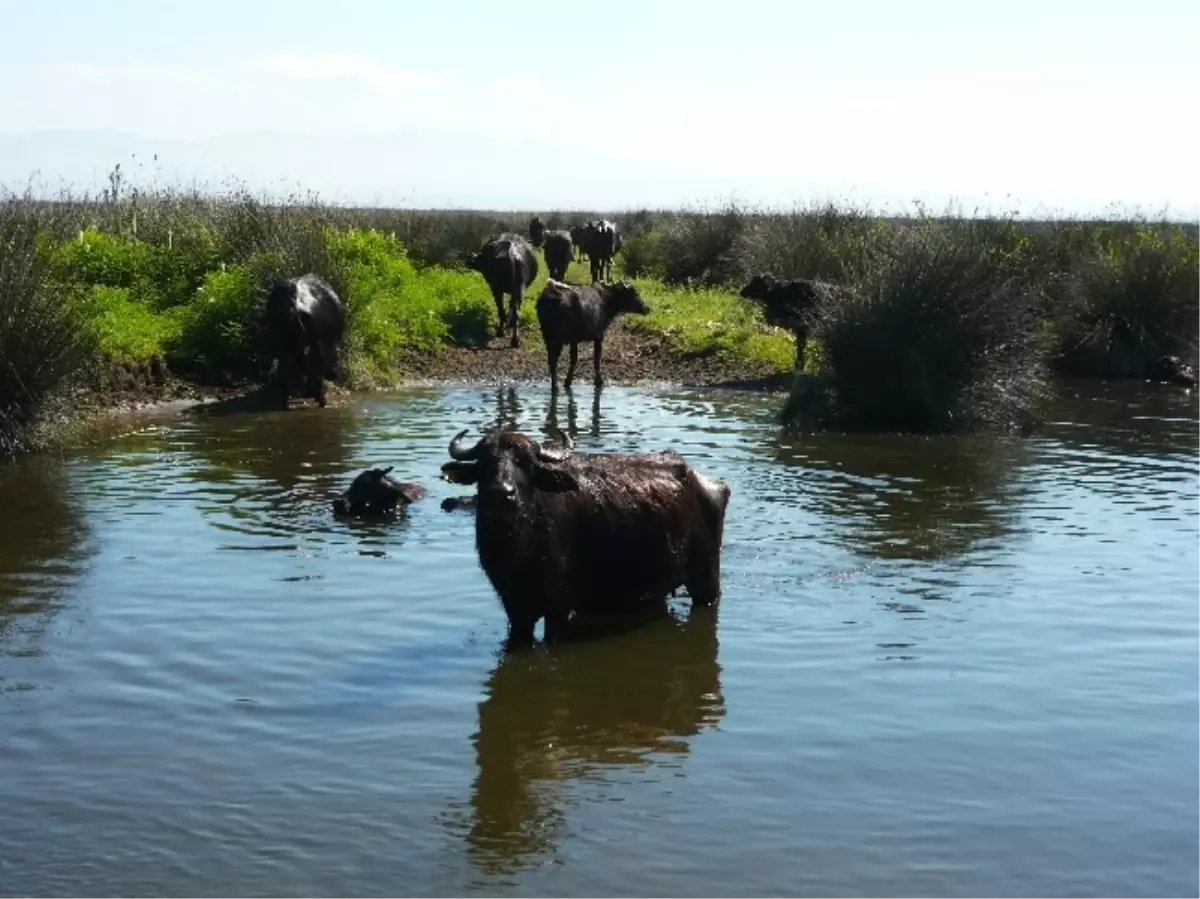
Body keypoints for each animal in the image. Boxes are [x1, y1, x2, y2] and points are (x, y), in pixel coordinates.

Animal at [265, 271, 345, 408]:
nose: (335, 375)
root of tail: (295, 308)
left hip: (283, 345)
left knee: (284, 372)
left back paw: (286, 404)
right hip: (316, 345)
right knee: (316, 371)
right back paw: (321, 401)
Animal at [436, 427, 724, 643]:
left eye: (525, 463)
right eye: (485, 463)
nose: (501, 493)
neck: (519, 548)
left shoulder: (557, 609)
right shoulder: (515, 610)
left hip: (706, 578)